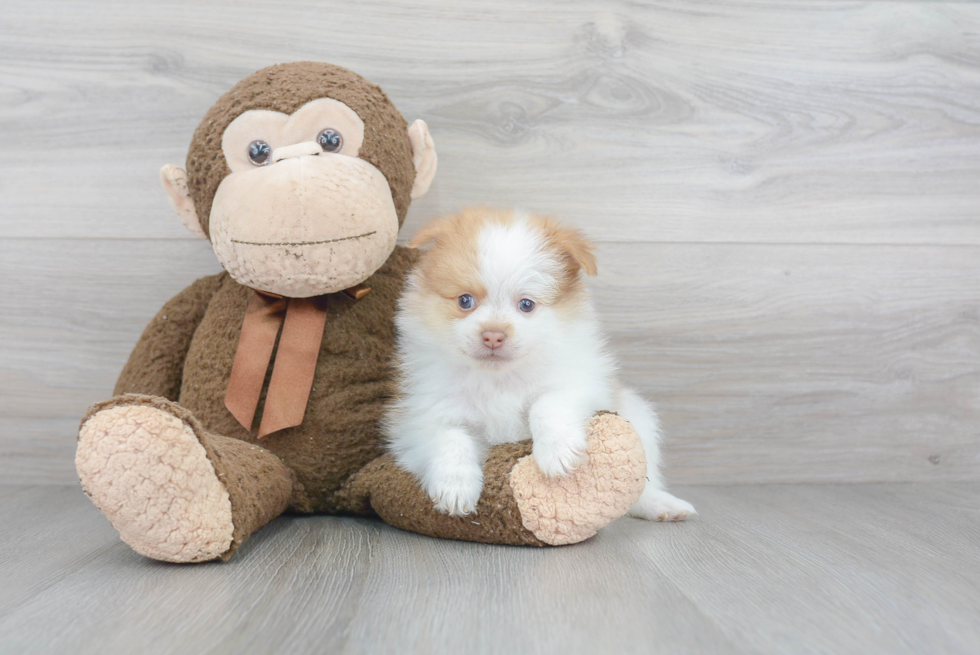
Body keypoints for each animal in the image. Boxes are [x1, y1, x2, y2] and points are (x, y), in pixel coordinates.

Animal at [386, 209, 692, 524]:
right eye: (465, 300)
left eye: (526, 305)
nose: (493, 335)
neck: (499, 379)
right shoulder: (419, 418)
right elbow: (449, 438)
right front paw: (455, 486)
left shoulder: (581, 382)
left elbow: (546, 404)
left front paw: (558, 451)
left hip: (639, 417)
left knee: (641, 486)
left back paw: (661, 504)